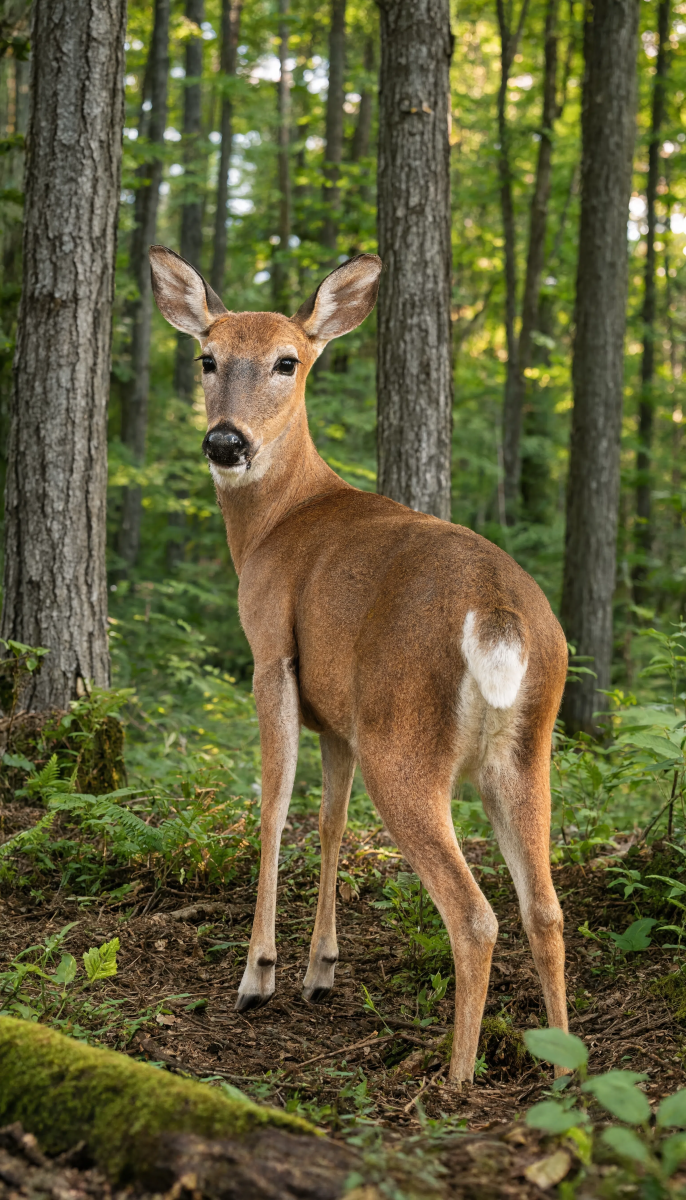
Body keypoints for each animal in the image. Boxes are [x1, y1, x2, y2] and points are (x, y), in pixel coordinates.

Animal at [149, 245, 569, 1083]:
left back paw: (457, 1077)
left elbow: (275, 808)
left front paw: (259, 976)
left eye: (287, 361)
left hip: (402, 738)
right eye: (208, 357)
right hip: (525, 747)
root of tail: (498, 614)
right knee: (544, 906)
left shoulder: (271, 654)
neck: (276, 523)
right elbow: (333, 822)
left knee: (475, 914)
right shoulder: (337, 716)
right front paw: (321, 970)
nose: (225, 443)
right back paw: (572, 1068)